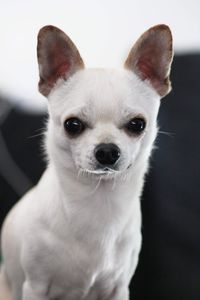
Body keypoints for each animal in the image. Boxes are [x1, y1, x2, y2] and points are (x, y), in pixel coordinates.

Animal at [0, 24, 172, 300]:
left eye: (137, 124)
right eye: (73, 125)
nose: (107, 151)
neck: (99, 201)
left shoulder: (118, 287)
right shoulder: (35, 286)